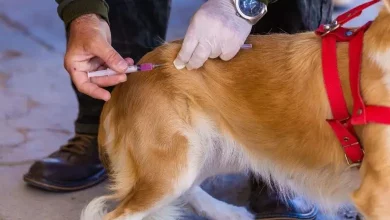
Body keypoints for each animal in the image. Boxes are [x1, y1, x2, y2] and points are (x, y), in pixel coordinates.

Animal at [80, 0, 390, 219]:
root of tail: (126, 82)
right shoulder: (375, 193)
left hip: (223, 148)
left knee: (190, 189)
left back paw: (226, 212)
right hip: (174, 165)